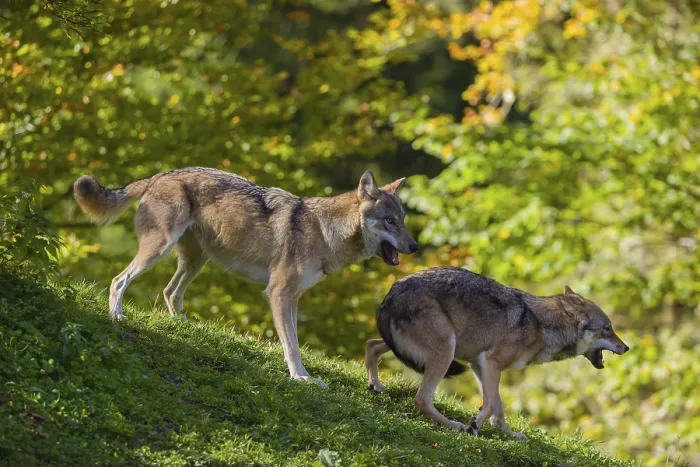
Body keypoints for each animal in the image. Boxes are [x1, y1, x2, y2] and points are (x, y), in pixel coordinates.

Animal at [74, 167, 418, 387]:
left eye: (402, 220)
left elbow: (292, 339)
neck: (325, 232)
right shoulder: (278, 293)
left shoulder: (293, 298)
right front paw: (301, 378)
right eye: (390, 221)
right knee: (120, 280)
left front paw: (301, 374)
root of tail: (160, 175)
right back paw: (117, 316)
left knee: (170, 292)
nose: (415, 247)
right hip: (160, 249)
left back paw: (183, 327)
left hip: (196, 261)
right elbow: (292, 345)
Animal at [364, 267, 629, 439]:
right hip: (445, 351)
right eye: (608, 328)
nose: (626, 347)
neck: (542, 326)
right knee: (421, 398)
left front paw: (508, 433)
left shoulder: (479, 364)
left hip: (413, 347)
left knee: (371, 344)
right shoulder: (491, 361)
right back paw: (453, 425)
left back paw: (375, 385)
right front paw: (473, 426)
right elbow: (491, 404)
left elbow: (498, 407)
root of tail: (391, 293)